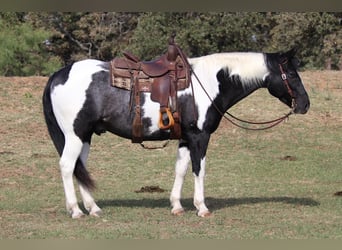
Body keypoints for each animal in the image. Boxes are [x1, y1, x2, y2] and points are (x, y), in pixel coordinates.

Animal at [42, 48, 310, 219]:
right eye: (292, 74)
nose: (305, 104)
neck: (208, 82)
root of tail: (59, 74)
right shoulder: (200, 137)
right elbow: (199, 169)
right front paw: (202, 207)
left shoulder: (184, 138)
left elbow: (180, 169)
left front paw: (177, 206)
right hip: (74, 135)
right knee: (67, 166)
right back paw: (76, 211)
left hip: (85, 136)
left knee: (80, 168)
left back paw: (93, 208)